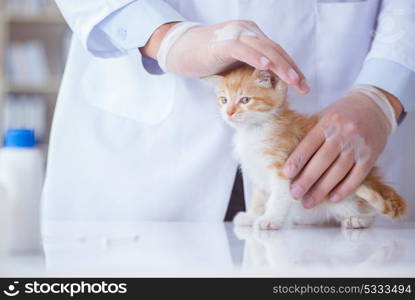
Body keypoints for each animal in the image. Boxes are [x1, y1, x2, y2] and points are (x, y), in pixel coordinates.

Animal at [205, 65, 406, 230]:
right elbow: (259, 197)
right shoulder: (258, 172)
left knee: (368, 212)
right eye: (223, 100)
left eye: (245, 100)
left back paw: (358, 220)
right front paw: (252, 216)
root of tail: (374, 179)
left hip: (341, 194)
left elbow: (278, 196)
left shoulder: (282, 166)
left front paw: (270, 219)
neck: (255, 129)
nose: (229, 112)